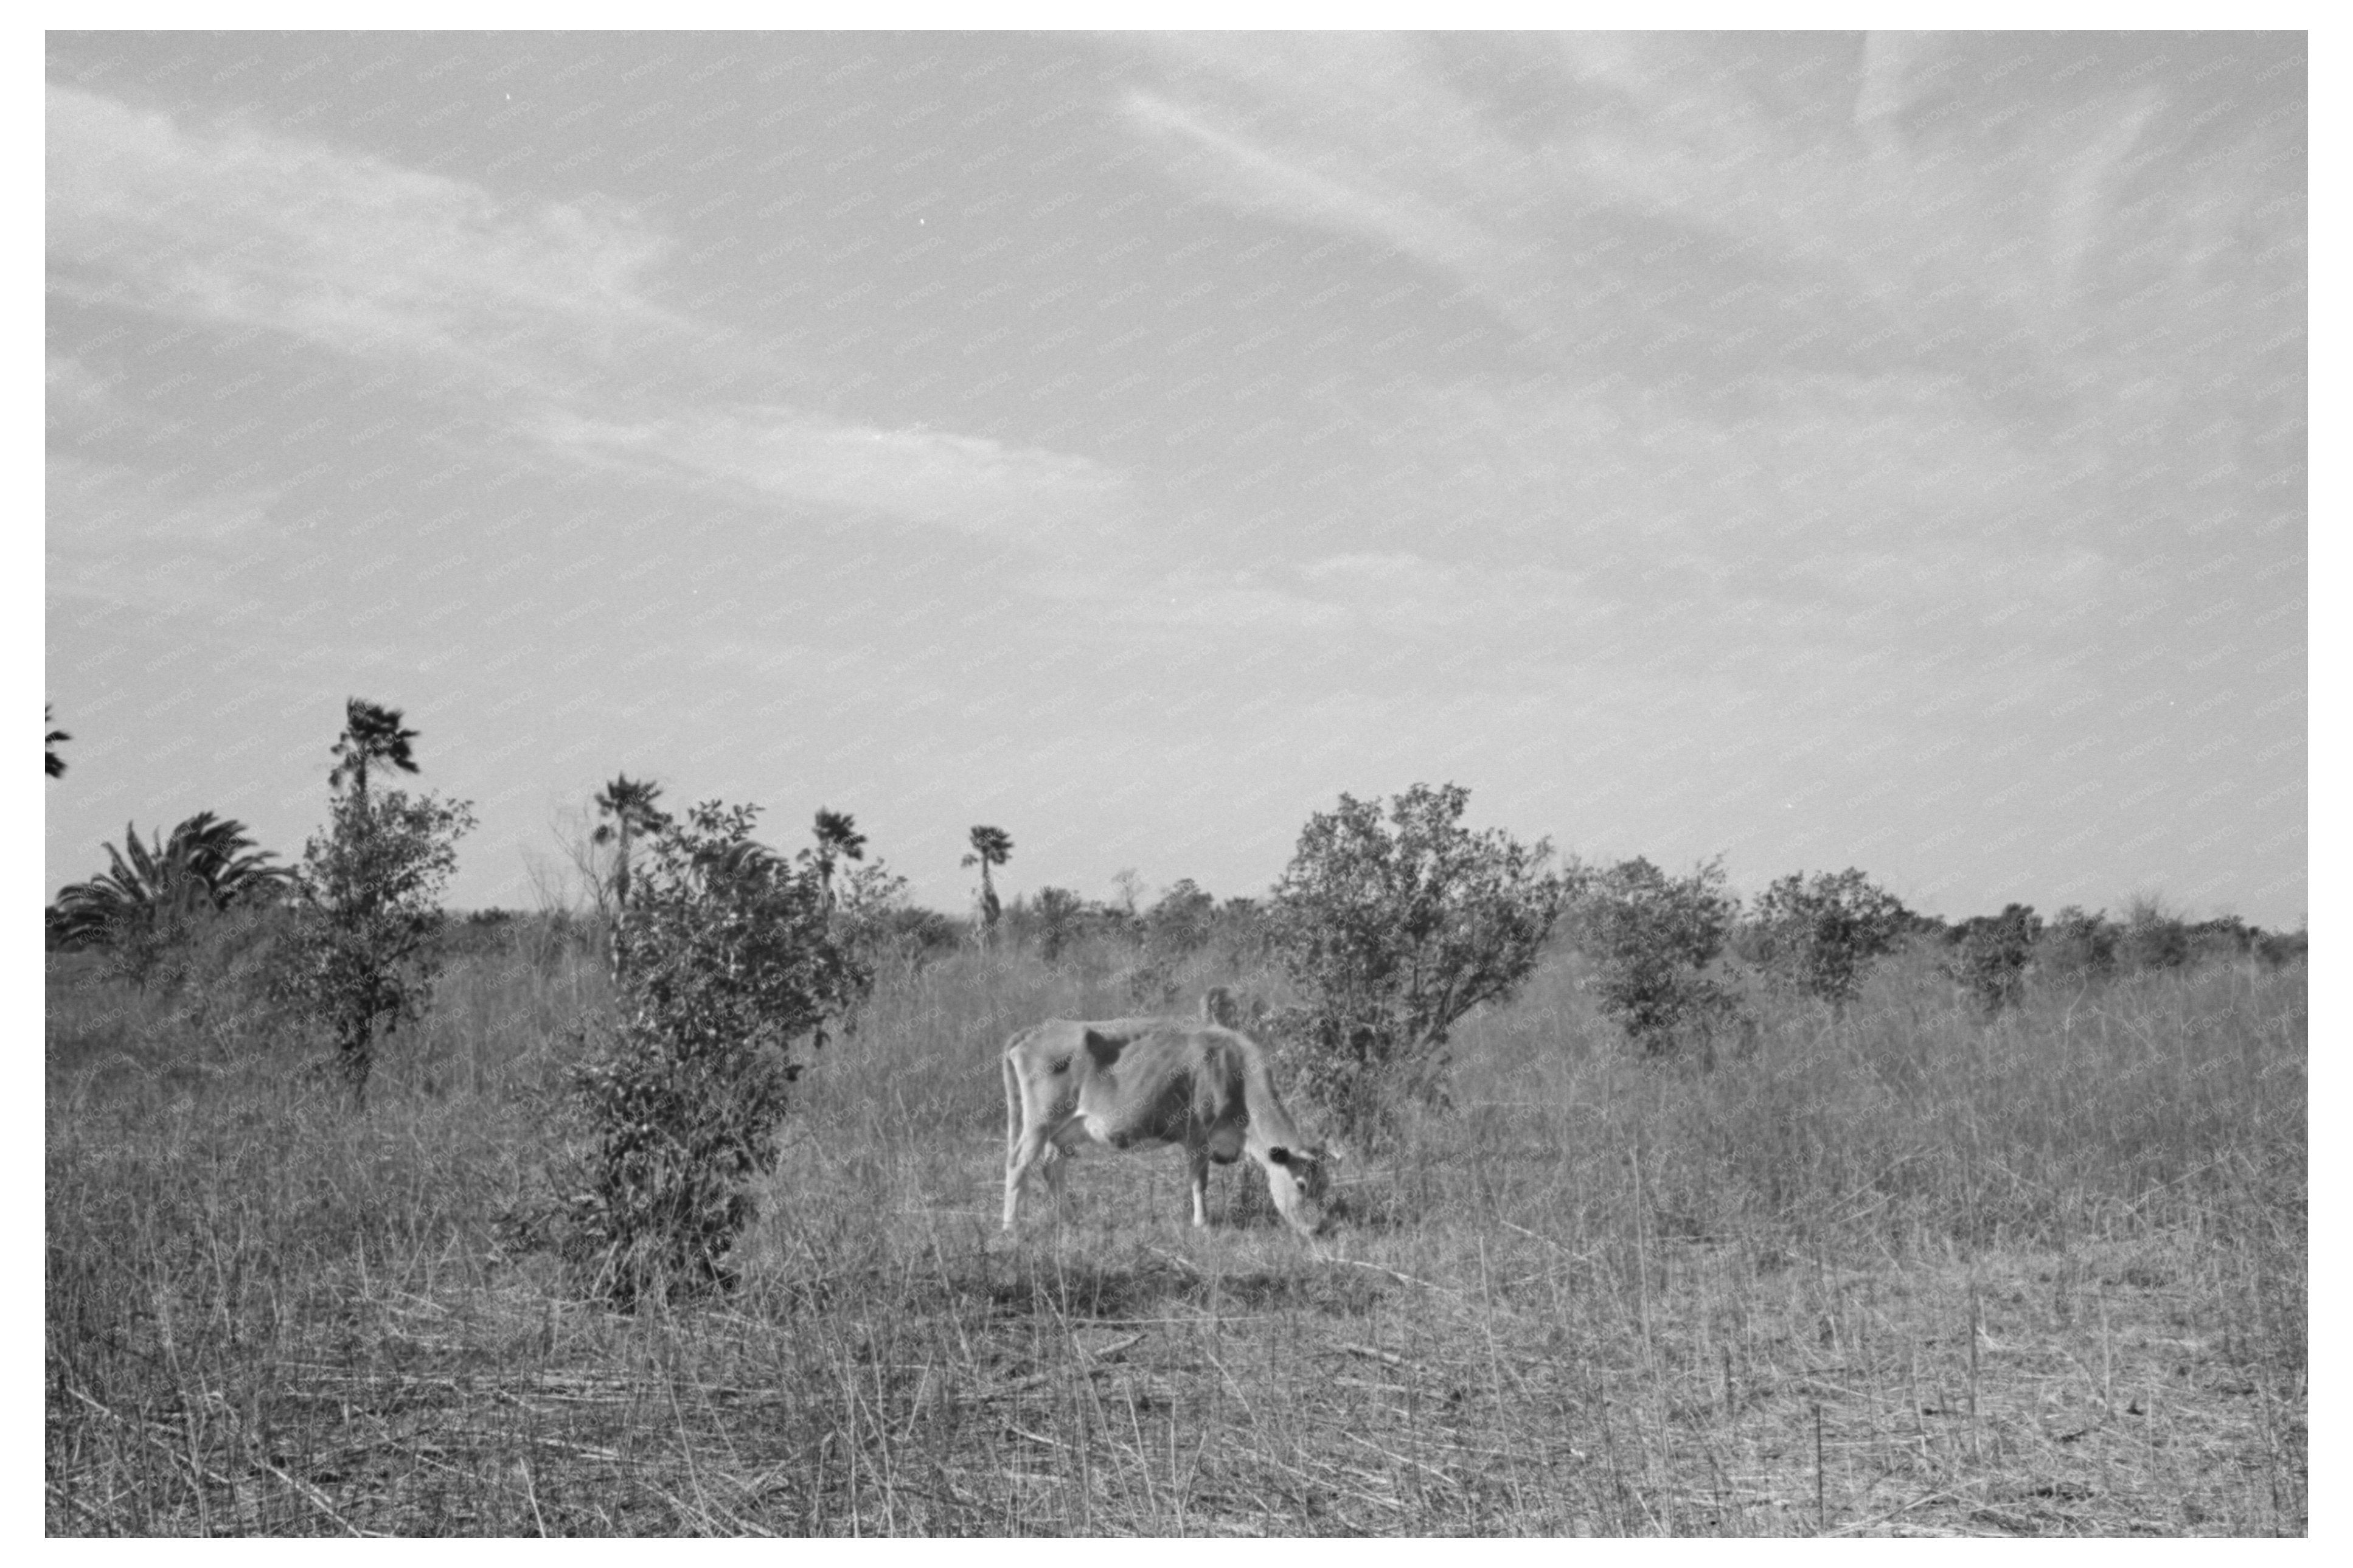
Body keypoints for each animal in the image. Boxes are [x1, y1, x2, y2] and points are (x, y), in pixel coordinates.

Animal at [993, 1002, 1327, 1233]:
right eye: (1301, 1185)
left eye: (1324, 1186)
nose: (1316, 1229)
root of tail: (1037, 1030)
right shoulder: (1197, 1135)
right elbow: (1199, 1181)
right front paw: (1202, 1224)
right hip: (1040, 1123)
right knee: (1018, 1163)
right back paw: (1012, 1227)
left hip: (1063, 1131)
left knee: (1052, 1169)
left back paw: (1069, 1219)